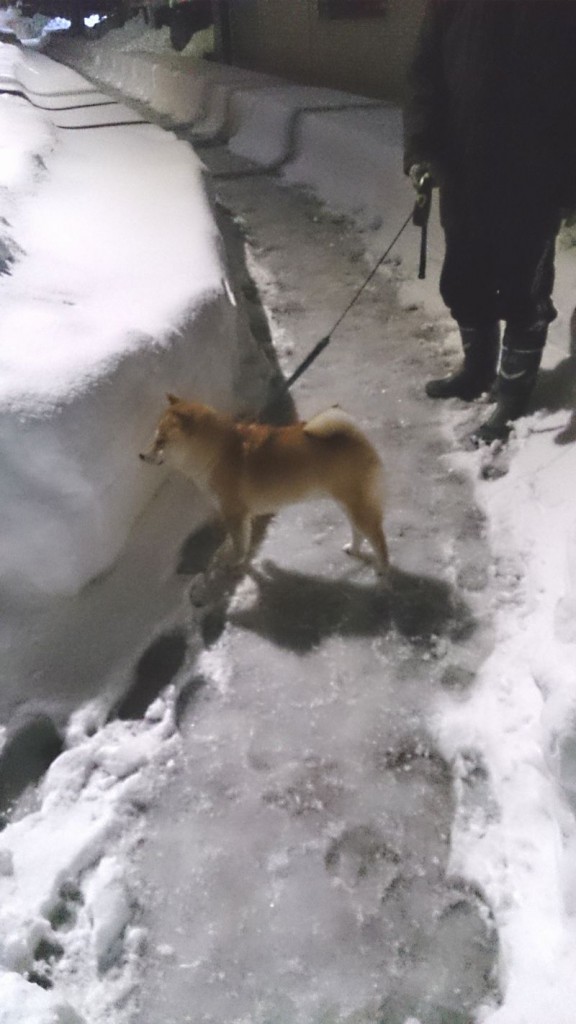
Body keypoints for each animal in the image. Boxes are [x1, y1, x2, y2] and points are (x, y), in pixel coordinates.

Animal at [140, 395, 387, 577]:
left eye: (160, 441)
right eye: (154, 439)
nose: (141, 455)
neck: (217, 453)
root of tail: (354, 436)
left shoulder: (234, 514)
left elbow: (239, 545)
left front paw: (234, 563)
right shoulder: (243, 516)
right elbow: (246, 543)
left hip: (356, 505)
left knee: (377, 538)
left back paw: (383, 570)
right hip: (348, 505)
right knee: (359, 531)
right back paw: (353, 549)